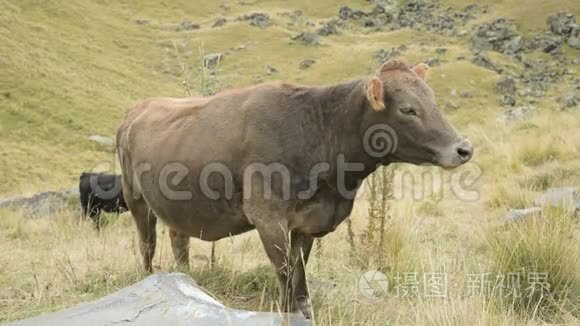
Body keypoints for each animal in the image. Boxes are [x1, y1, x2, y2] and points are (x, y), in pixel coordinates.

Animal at [116, 58, 472, 318]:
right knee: (146, 245)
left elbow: (300, 278)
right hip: (135, 198)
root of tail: (138, 108)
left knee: (179, 240)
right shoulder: (268, 216)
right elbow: (286, 276)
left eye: (433, 100)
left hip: (177, 207)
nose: (463, 148)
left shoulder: (306, 223)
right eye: (408, 109)